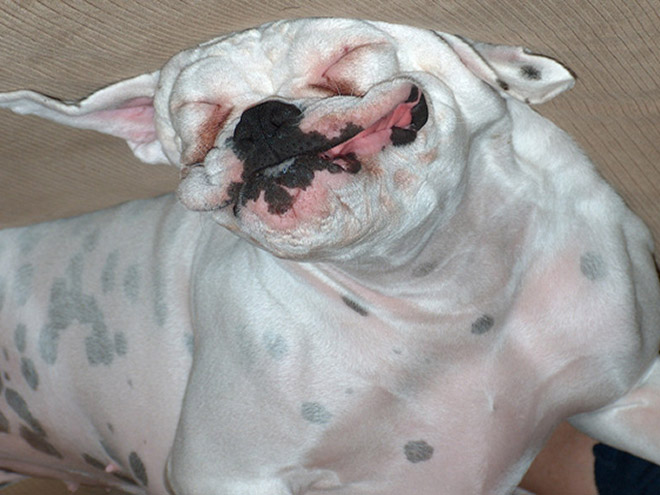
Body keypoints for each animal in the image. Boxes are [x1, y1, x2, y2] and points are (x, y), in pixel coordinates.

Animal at [1, 17, 660, 494]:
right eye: (200, 117)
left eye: (348, 56)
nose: (260, 117)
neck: (439, 284)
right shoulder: (228, 473)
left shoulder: (630, 395)